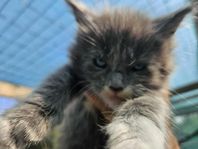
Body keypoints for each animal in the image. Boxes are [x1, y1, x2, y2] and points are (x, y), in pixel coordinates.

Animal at [0, 0, 193, 149]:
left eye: (138, 66)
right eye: (100, 62)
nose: (115, 86)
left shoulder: (155, 95)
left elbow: (142, 113)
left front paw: (133, 143)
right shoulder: (74, 72)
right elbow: (51, 88)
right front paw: (18, 125)